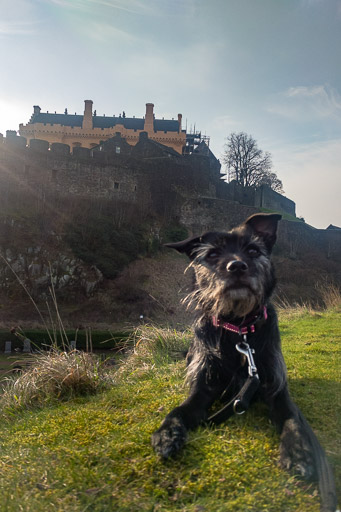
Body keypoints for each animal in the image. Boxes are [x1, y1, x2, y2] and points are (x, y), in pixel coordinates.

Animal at [152, 213, 338, 512]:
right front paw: (167, 435)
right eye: (212, 254)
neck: (239, 330)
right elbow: (178, 410)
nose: (237, 266)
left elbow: (292, 420)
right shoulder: (203, 388)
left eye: (252, 251)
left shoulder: (276, 388)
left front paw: (298, 453)